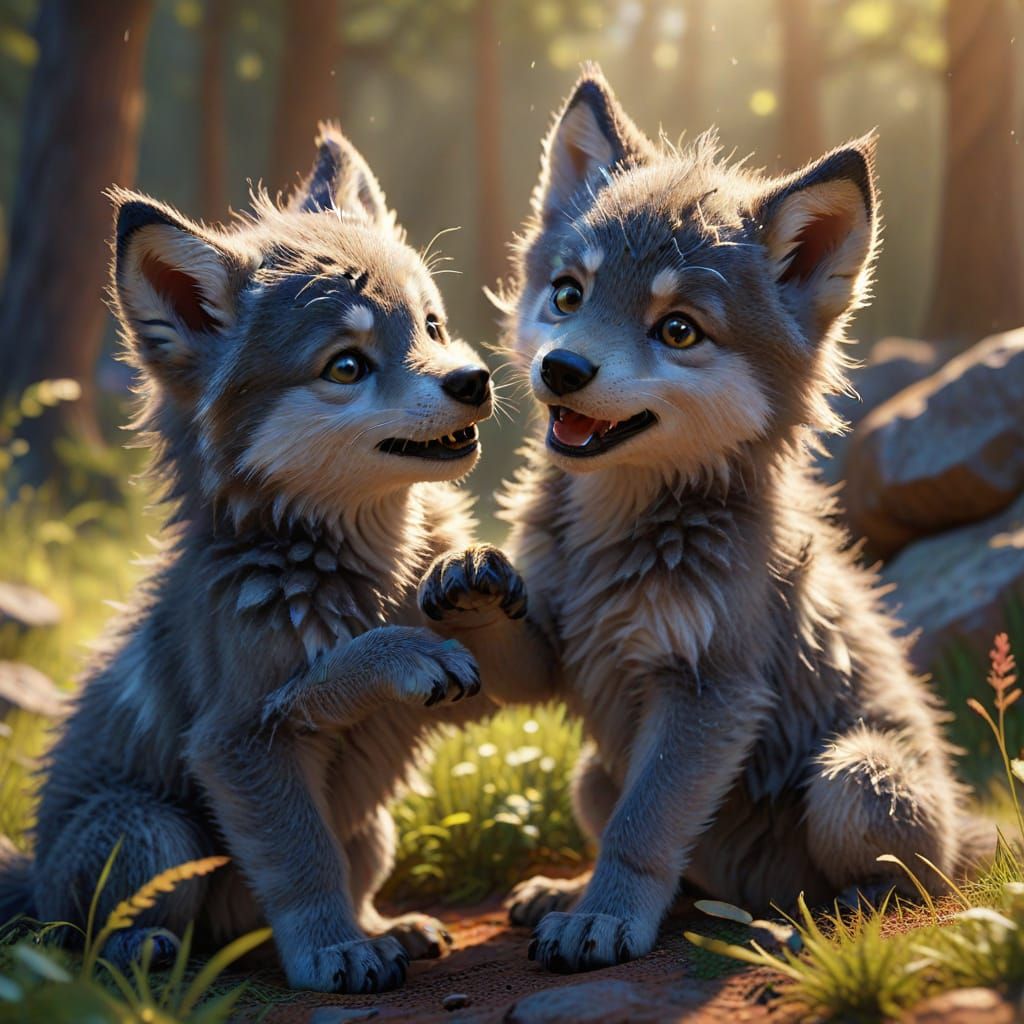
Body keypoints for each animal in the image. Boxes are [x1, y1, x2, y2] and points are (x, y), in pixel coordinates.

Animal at [0, 125, 505, 994]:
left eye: (433, 326)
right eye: (346, 365)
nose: (474, 381)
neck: (358, 561)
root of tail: (32, 877)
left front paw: (470, 566)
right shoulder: (236, 743)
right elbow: (304, 856)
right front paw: (332, 951)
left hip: (374, 831)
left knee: (346, 880)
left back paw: (387, 928)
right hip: (154, 829)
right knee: (87, 938)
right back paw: (150, 952)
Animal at [420, 70, 993, 974]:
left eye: (678, 329)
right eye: (569, 294)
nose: (562, 368)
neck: (616, 532)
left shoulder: (708, 693)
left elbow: (644, 830)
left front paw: (602, 920)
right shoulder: (557, 653)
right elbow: (517, 650)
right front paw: (469, 576)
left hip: (852, 777)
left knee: (914, 877)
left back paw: (823, 913)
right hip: (591, 773)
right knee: (679, 869)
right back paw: (573, 891)